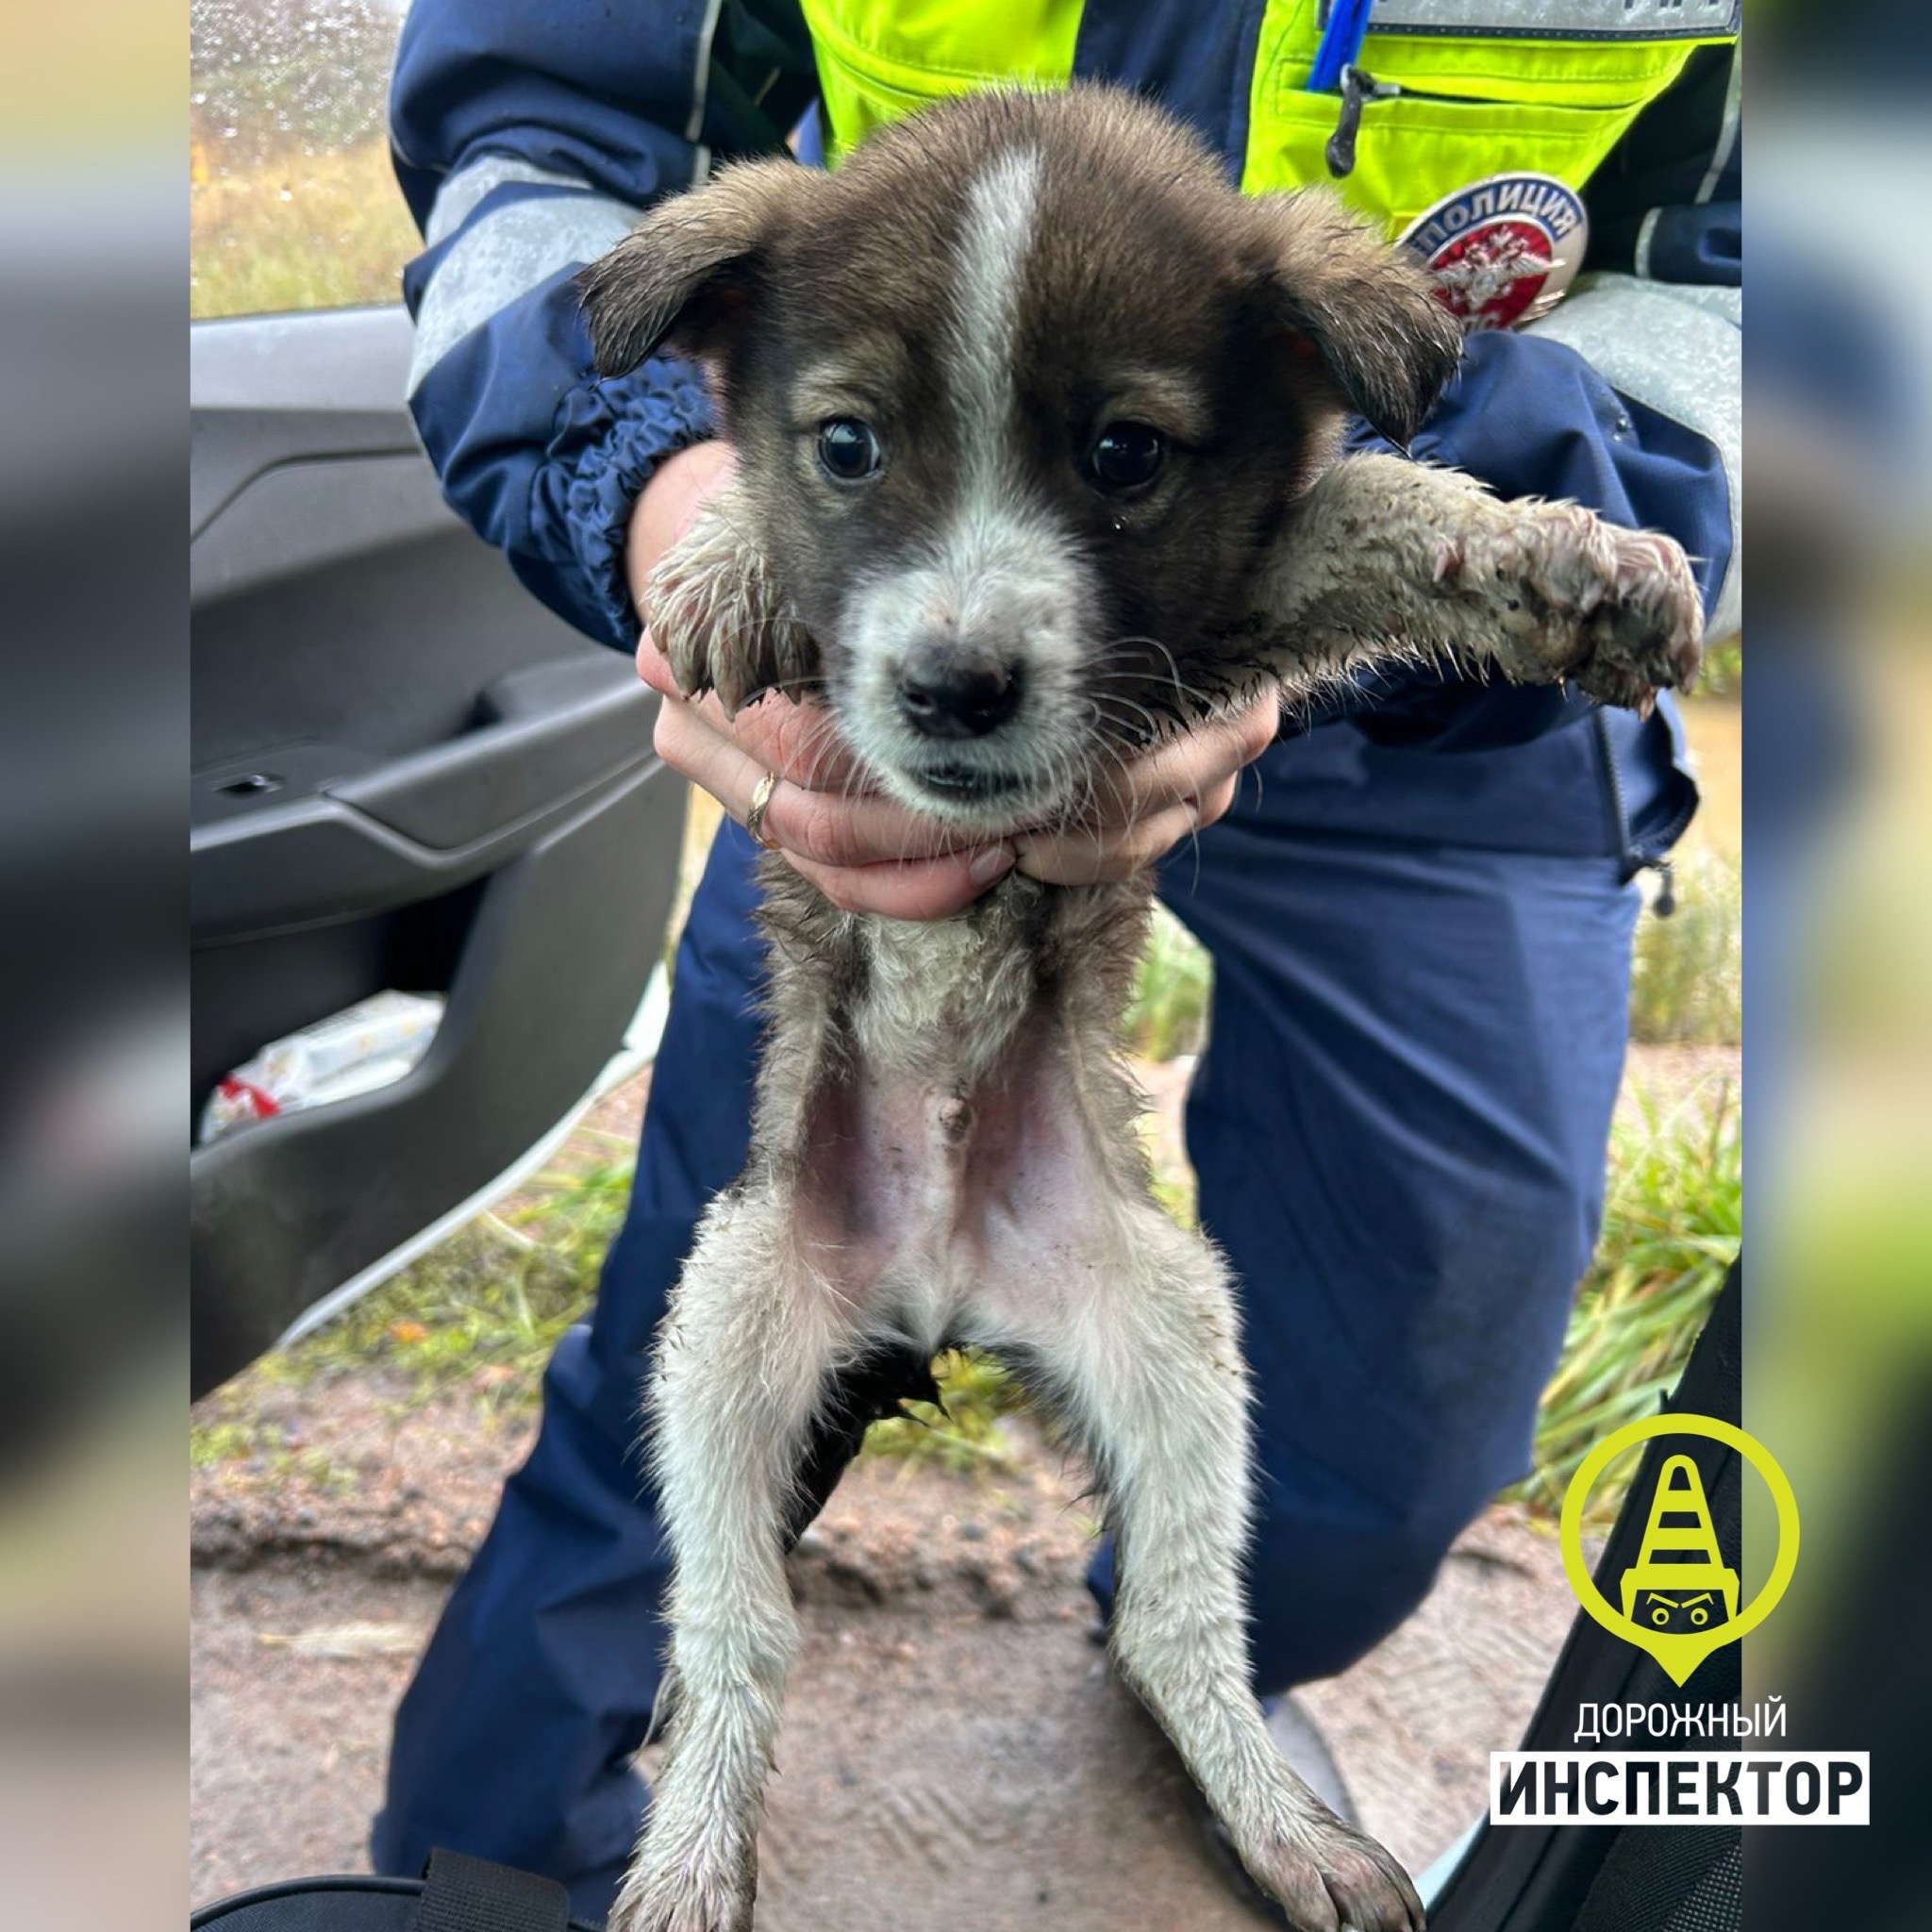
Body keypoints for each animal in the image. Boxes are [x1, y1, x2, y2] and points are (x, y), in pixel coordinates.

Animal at [579, 83, 1700, 1932]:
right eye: (844, 446)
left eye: (1122, 457)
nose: (953, 686)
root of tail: (943, 1287)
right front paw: (728, 564)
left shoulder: (1216, 618)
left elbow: (1374, 492)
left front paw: (1561, 552)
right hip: (723, 1332)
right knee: (737, 1634)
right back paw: (688, 1854)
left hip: (1177, 1342)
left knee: (1177, 1627)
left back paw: (1279, 1825)